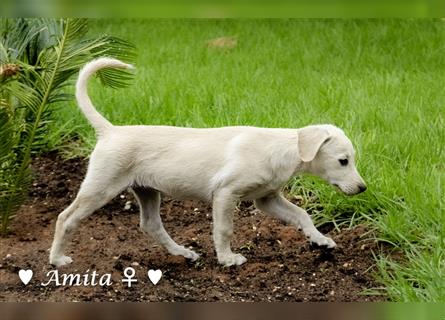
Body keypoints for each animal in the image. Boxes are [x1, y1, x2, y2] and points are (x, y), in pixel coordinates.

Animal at [49, 57, 368, 268]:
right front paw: (228, 259)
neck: (280, 149)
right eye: (343, 161)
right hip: (101, 187)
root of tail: (110, 130)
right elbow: (224, 229)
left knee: (151, 225)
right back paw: (57, 259)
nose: (363, 188)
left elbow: (302, 214)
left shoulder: (266, 199)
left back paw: (183, 253)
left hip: (147, 190)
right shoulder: (226, 194)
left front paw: (320, 240)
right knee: (66, 218)